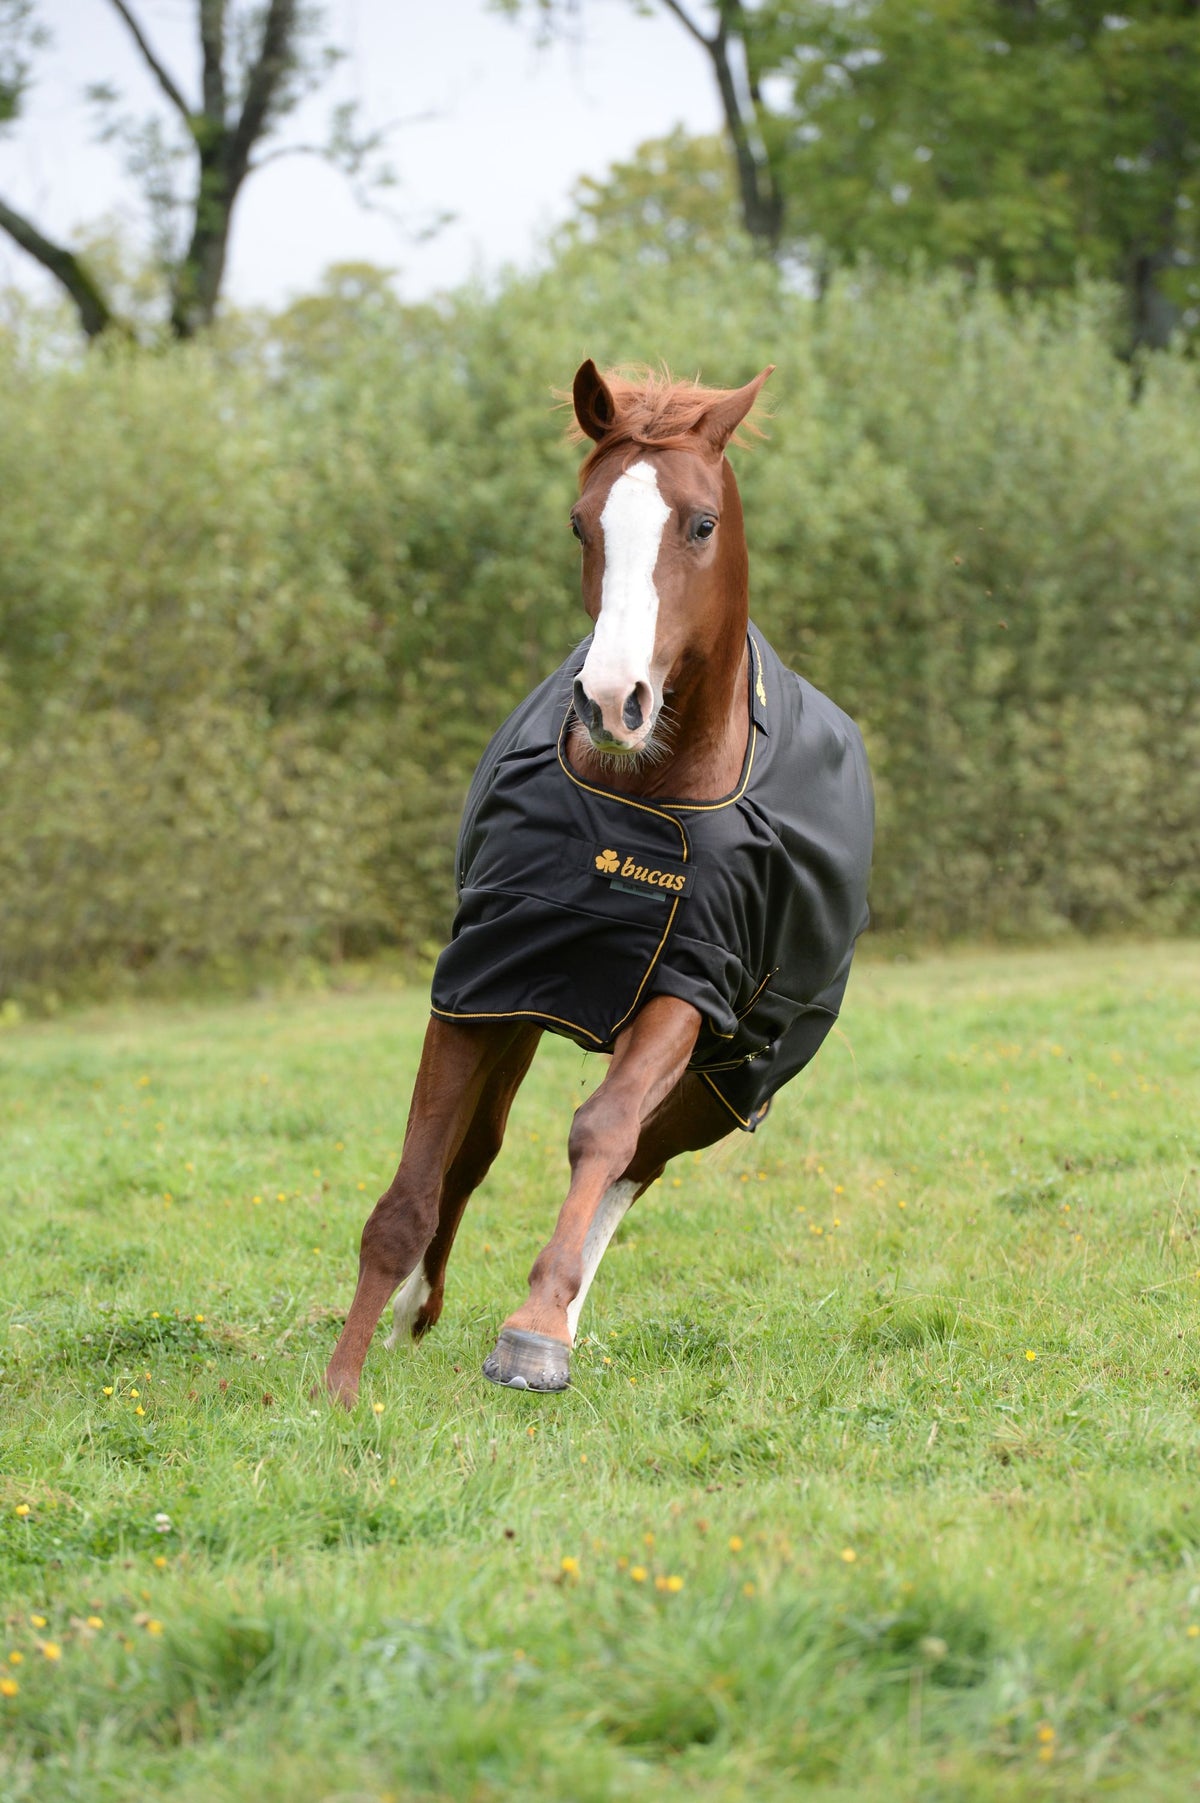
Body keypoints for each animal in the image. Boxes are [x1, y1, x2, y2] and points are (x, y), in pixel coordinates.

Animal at [321, 360, 873, 1405]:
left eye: (700, 523)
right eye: (581, 523)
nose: (615, 701)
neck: (642, 800)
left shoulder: (689, 982)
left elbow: (603, 1131)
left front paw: (535, 1331)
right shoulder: (486, 977)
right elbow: (419, 1181)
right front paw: (342, 1378)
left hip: (734, 1078)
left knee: (637, 1162)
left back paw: (563, 1314)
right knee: (479, 1152)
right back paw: (424, 1306)